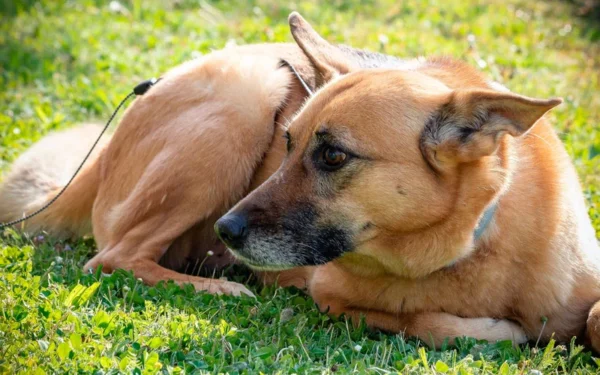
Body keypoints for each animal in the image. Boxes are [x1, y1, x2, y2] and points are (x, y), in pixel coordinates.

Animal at [214, 13, 600, 350]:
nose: (225, 229)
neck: (471, 245)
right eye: (288, 143)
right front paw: (498, 331)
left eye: (333, 155)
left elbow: (593, 318)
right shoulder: (327, 293)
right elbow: (416, 319)